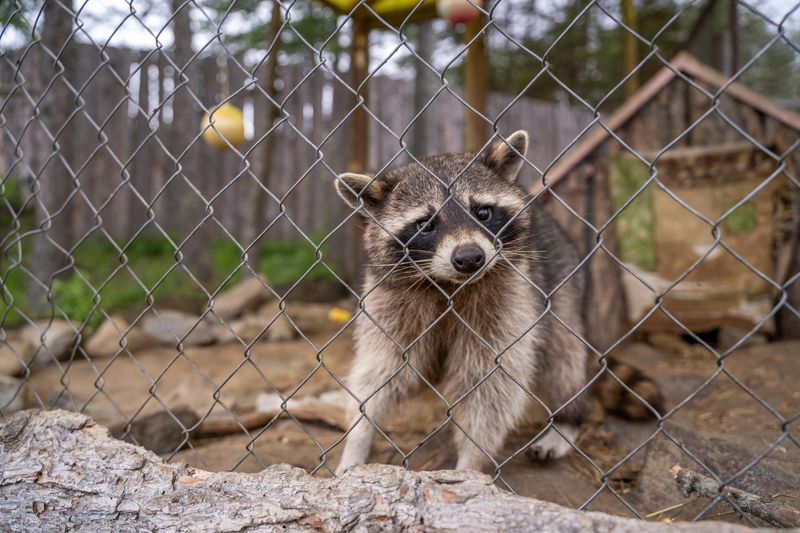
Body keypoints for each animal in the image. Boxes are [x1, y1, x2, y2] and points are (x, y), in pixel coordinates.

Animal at [333, 131, 591, 473]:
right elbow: (381, 369)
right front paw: (358, 436)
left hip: (561, 286)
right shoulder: (388, 302)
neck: (449, 286)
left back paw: (567, 419)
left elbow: (490, 384)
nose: (470, 257)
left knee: (563, 358)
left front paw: (470, 462)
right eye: (426, 223)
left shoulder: (508, 300)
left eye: (482, 212)